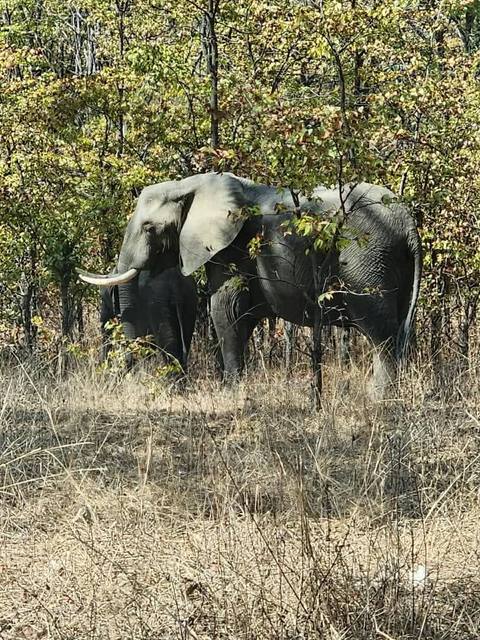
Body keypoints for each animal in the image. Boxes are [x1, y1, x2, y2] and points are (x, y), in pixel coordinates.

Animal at [78, 172, 422, 397]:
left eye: (150, 228)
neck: (190, 185)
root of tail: (409, 223)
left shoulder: (233, 247)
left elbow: (225, 309)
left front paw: (231, 393)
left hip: (366, 256)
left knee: (380, 330)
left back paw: (379, 398)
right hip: (391, 261)